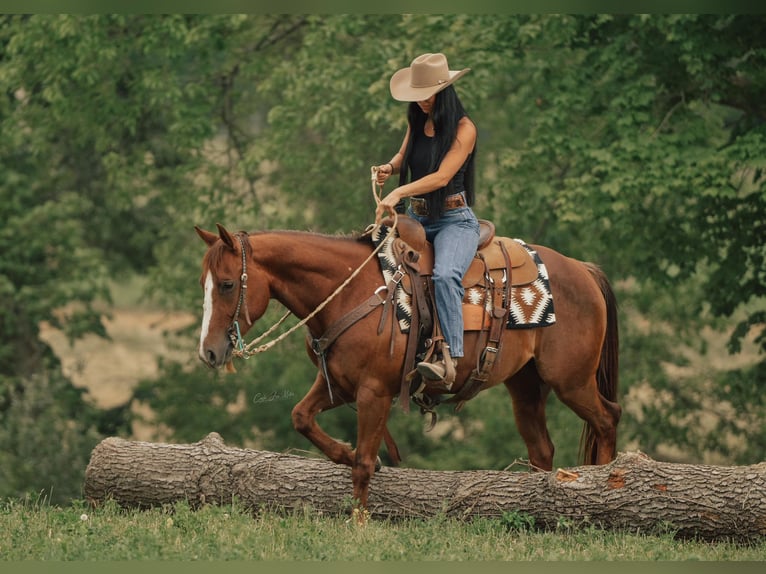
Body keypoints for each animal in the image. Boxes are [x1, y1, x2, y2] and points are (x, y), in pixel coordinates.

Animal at [195, 223, 620, 516]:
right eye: (204, 283)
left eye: (228, 284)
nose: (209, 353)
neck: (352, 291)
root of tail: (582, 270)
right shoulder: (339, 385)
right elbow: (301, 417)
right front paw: (346, 454)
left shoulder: (374, 391)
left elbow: (364, 463)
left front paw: (358, 520)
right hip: (526, 387)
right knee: (542, 448)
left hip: (571, 381)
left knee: (607, 418)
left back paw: (608, 488)